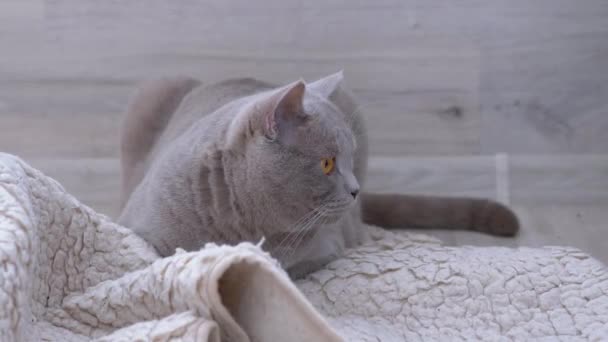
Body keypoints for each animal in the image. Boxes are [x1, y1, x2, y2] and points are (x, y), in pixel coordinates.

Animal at [119, 73, 516, 278]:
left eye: (350, 158)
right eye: (326, 164)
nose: (355, 190)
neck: (241, 225)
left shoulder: (326, 247)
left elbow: (285, 267)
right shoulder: (140, 232)